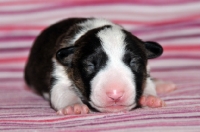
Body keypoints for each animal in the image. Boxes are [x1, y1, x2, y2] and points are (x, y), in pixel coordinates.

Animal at [24, 18, 176, 115]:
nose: (115, 95)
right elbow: (62, 92)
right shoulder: (59, 73)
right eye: (90, 65)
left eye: (133, 62)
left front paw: (149, 98)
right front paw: (73, 106)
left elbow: (147, 83)